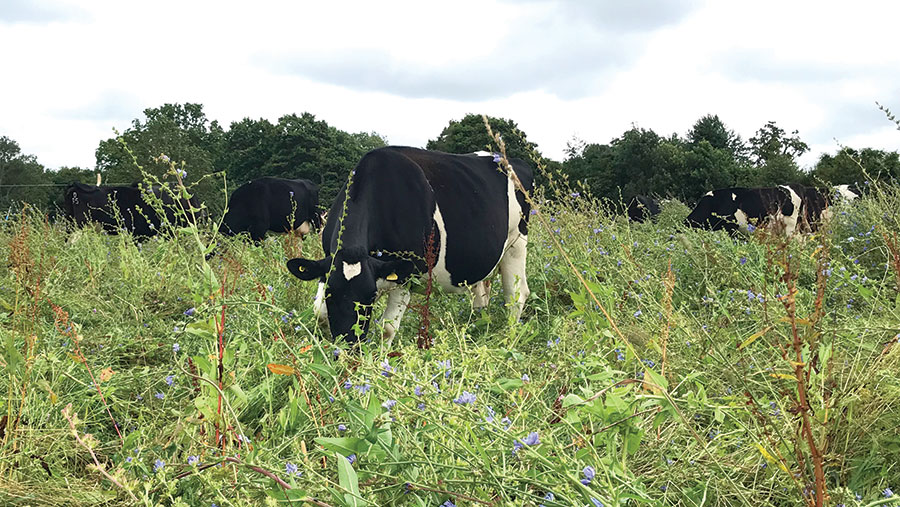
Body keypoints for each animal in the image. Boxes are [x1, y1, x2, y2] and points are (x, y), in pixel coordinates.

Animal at [284, 147, 532, 346]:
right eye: (330, 294)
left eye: (370, 296)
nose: (349, 345)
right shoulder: (328, 265)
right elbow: (319, 313)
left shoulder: (407, 275)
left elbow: (386, 328)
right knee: (480, 295)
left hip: (516, 242)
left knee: (517, 294)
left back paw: (509, 341)